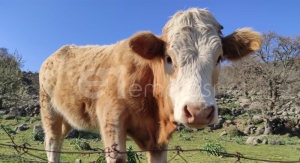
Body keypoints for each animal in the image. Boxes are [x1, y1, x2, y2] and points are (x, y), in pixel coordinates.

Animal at [39, 7, 262, 162]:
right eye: (168, 58)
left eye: (219, 58)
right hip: (49, 110)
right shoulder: (111, 118)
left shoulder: (158, 144)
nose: (198, 111)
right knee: (52, 143)